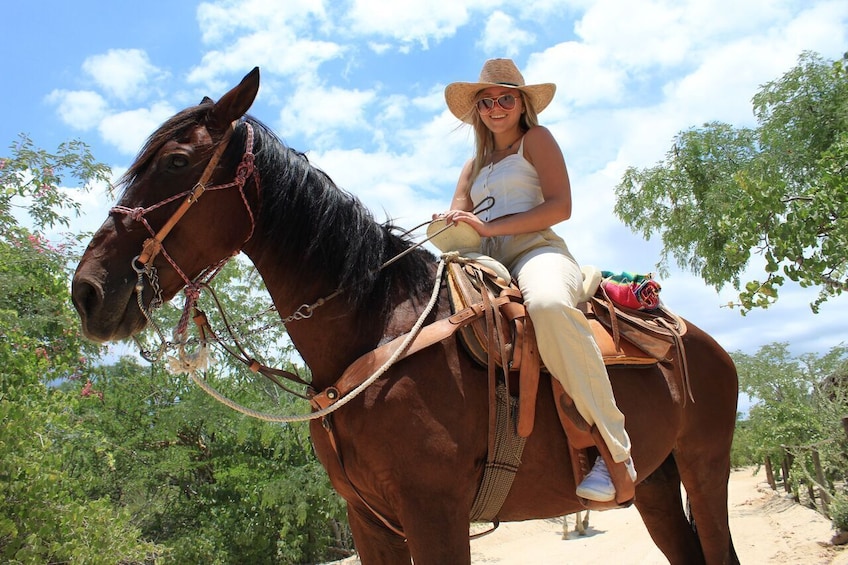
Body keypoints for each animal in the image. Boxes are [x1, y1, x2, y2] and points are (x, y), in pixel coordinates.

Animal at [69, 68, 740, 560]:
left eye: (178, 162)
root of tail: (703, 342)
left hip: (705, 469)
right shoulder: (370, 521)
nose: (88, 292)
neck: (373, 326)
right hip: (655, 483)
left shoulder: (434, 512)